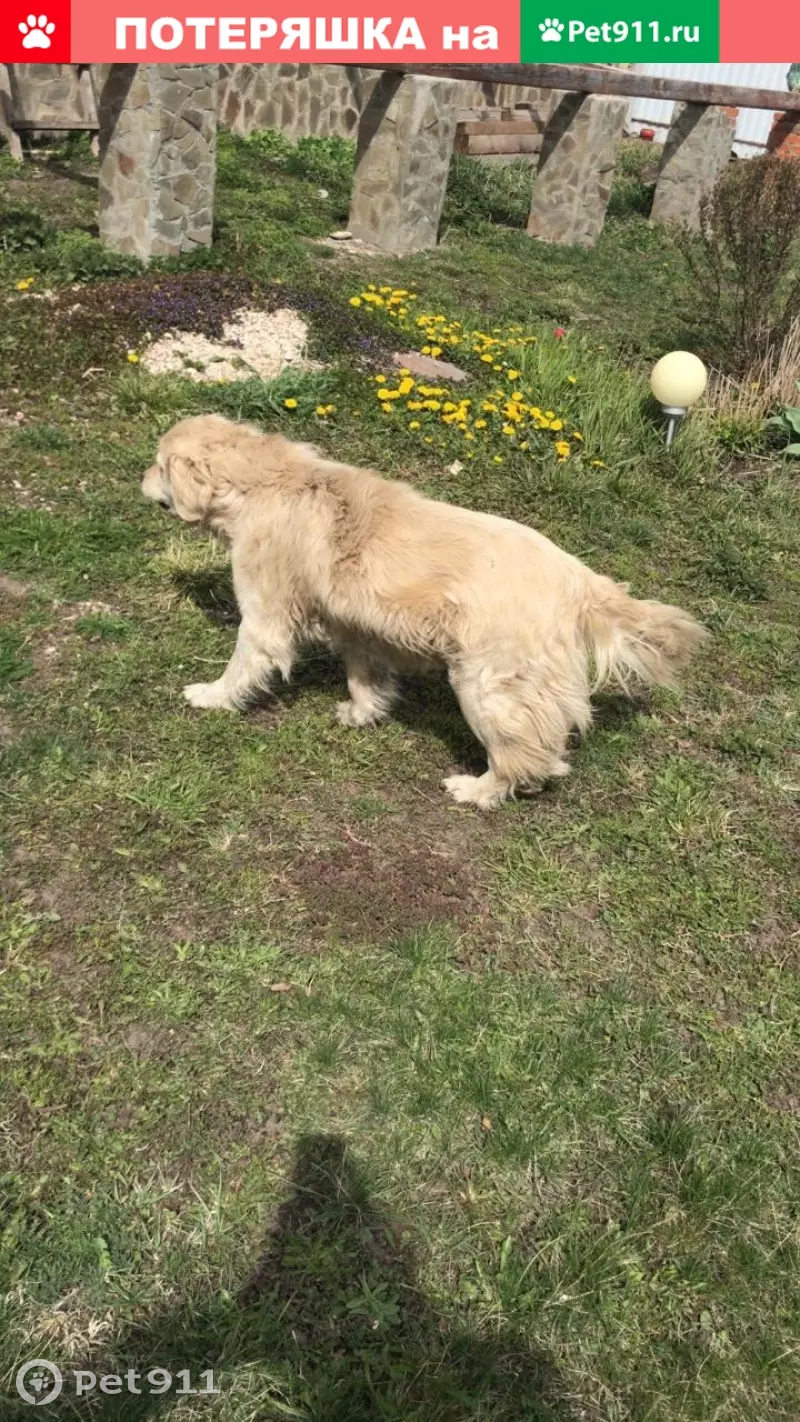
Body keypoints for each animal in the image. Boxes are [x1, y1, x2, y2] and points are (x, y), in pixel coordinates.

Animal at [142, 415, 707, 807]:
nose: (137, 477)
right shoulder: (356, 625)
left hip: (485, 687)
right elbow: (363, 676)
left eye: (158, 462)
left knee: (526, 756)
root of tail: (580, 580)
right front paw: (362, 712)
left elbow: (243, 663)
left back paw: (477, 790)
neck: (267, 479)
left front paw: (210, 696)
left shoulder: (265, 616)